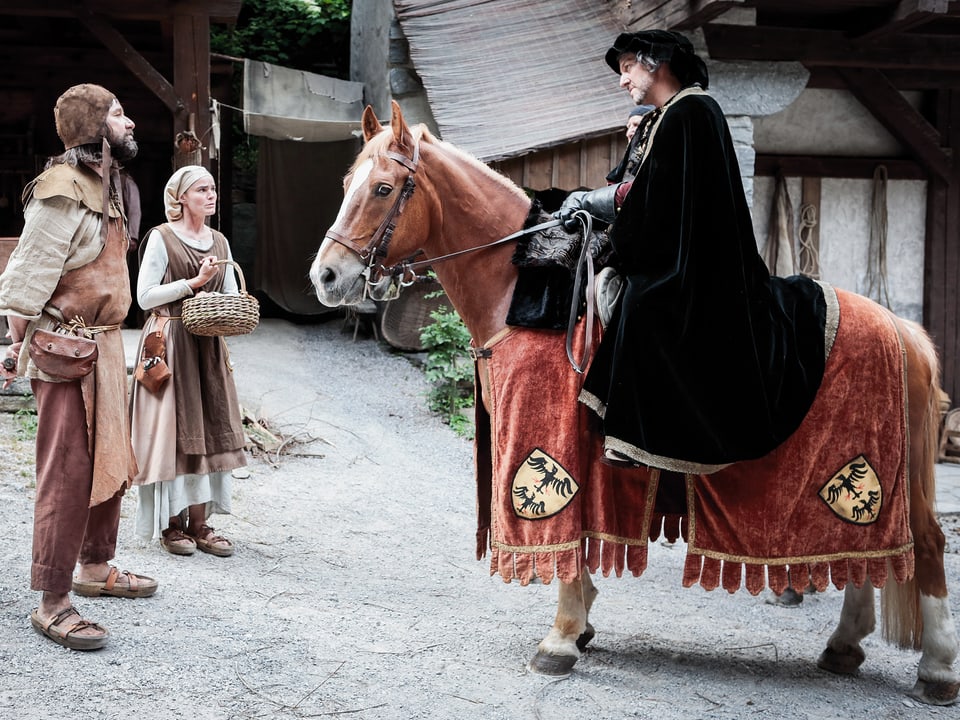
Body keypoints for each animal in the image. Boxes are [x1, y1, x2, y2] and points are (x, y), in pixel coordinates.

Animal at [312, 100, 956, 704]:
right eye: (345, 185)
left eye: (384, 188)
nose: (326, 277)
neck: (522, 290)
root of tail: (906, 332)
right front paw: (581, 622)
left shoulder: (551, 443)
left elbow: (565, 535)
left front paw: (561, 637)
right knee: (870, 552)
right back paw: (845, 645)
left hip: (878, 472)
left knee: (925, 544)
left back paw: (938, 669)